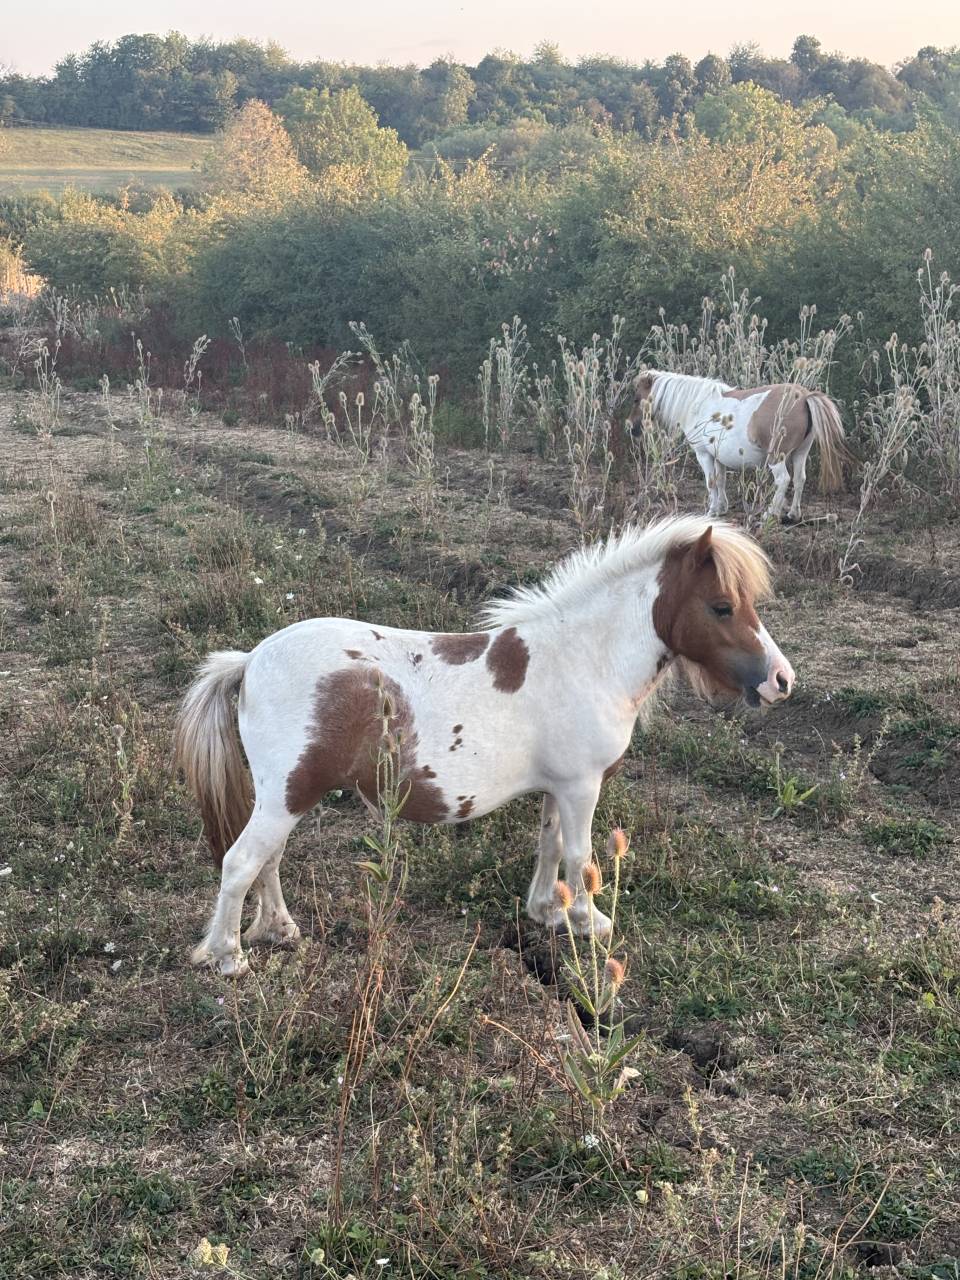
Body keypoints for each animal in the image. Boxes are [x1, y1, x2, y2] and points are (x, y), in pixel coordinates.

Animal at [175, 516, 795, 976]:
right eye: (721, 606)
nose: (781, 680)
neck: (586, 656)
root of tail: (250, 661)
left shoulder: (558, 788)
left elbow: (550, 847)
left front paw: (547, 912)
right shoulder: (582, 787)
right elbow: (580, 856)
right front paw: (589, 922)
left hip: (287, 797)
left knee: (269, 860)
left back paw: (279, 930)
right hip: (288, 795)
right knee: (242, 862)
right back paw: (228, 957)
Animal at [626, 370, 849, 522]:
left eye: (636, 399)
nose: (631, 428)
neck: (698, 404)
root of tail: (803, 397)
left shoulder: (703, 455)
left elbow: (711, 483)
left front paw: (711, 510)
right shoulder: (717, 457)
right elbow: (721, 481)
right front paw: (721, 508)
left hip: (776, 456)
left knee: (784, 480)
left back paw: (770, 513)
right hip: (800, 452)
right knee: (800, 479)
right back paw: (793, 514)